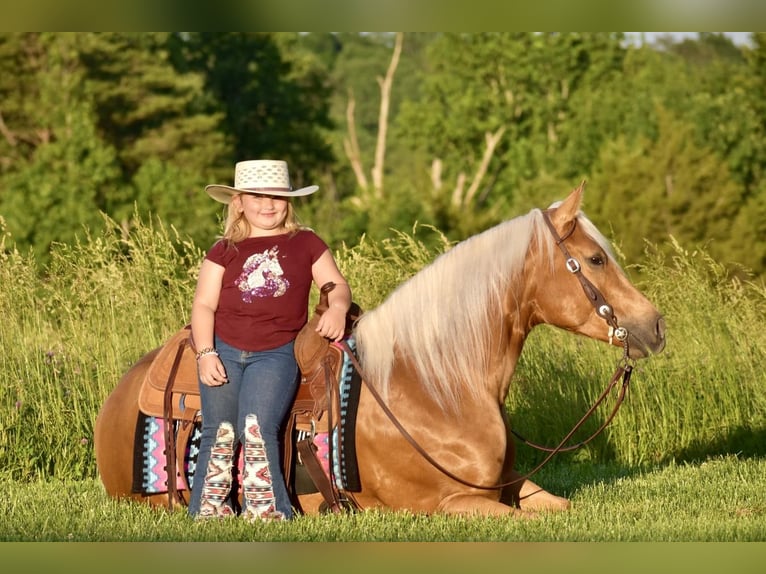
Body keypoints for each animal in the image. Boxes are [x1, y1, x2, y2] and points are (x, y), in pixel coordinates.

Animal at [94, 184, 664, 516]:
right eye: (595, 259)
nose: (654, 325)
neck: (439, 388)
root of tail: (122, 391)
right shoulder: (451, 505)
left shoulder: (521, 490)